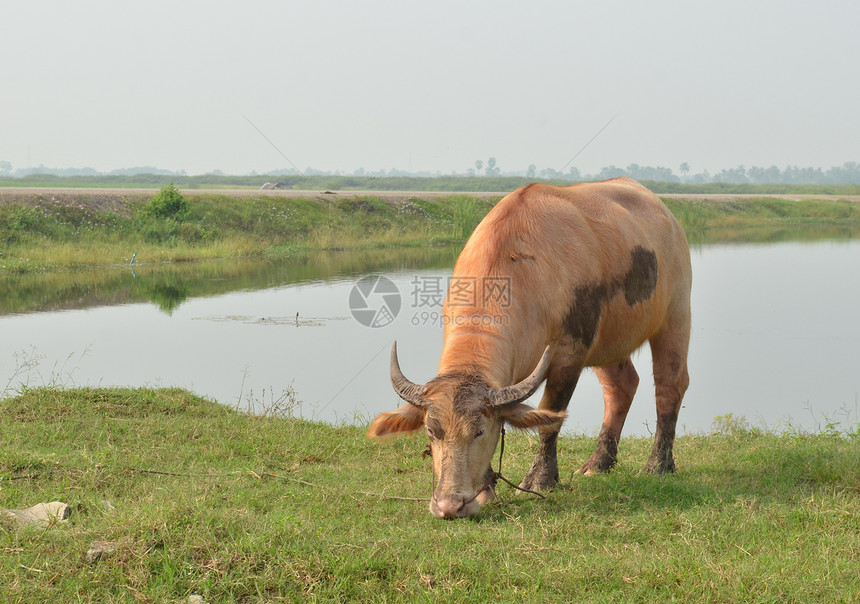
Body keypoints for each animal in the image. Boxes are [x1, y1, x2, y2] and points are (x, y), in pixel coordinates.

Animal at [370, 178, 692, 520]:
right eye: (432, 431)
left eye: (479, 431)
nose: (450, 505)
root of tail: (667, 216)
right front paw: (488, 488)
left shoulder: (569, 355)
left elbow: (550, 418)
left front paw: (540, 480)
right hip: (610, 342)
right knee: (622, 386)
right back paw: (598, 464)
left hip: (675, 316)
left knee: (669, 386)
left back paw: (658, 465)